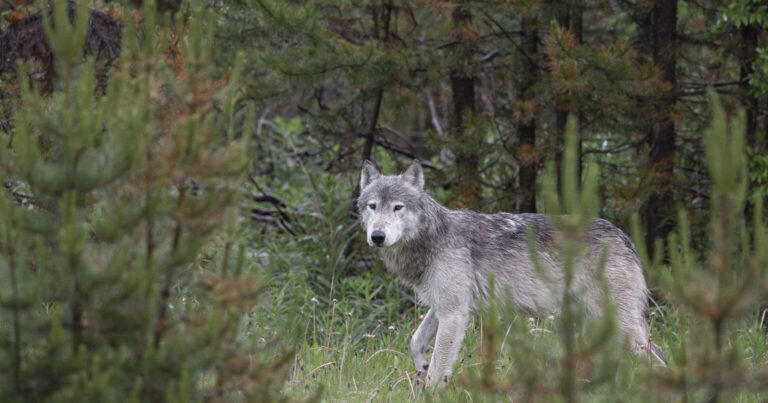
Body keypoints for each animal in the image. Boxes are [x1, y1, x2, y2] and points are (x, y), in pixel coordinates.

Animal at [357, 160, 666, 387]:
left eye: (398, 207)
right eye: (373, 206)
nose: (378, 236)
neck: (432, 238)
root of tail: (624, 236)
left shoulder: (455, 313)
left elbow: (436, 372)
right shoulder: (444, 306)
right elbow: (416, 341)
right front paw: (420, 365)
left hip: (618, 327)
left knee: (658, 361)